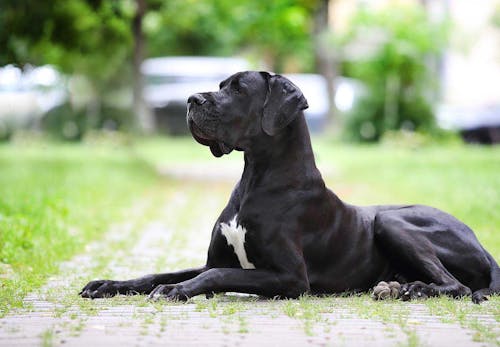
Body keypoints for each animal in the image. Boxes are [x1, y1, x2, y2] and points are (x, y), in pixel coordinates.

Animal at [80, 71, 498, 304]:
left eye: (238, 89)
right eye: (219, 85)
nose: (191, 99)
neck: (255, 176)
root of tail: (483, 245)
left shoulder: (292, 278)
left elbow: (210, 277)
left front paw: (176, 292)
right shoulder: (215, 259)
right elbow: (162, 273)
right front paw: (107, 284)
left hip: (391, 221)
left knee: (457, 285)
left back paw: (416, 290)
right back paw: (395, 288)